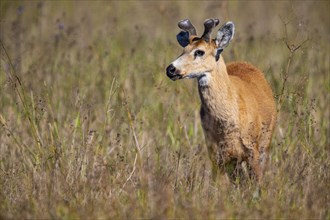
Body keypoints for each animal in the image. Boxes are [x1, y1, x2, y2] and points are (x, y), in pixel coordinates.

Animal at [165, 18, 276, 180]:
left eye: (200, 51)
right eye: (183, 50)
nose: (170, 69)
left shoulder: (252, 149)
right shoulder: (215, 153)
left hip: (265, 142)